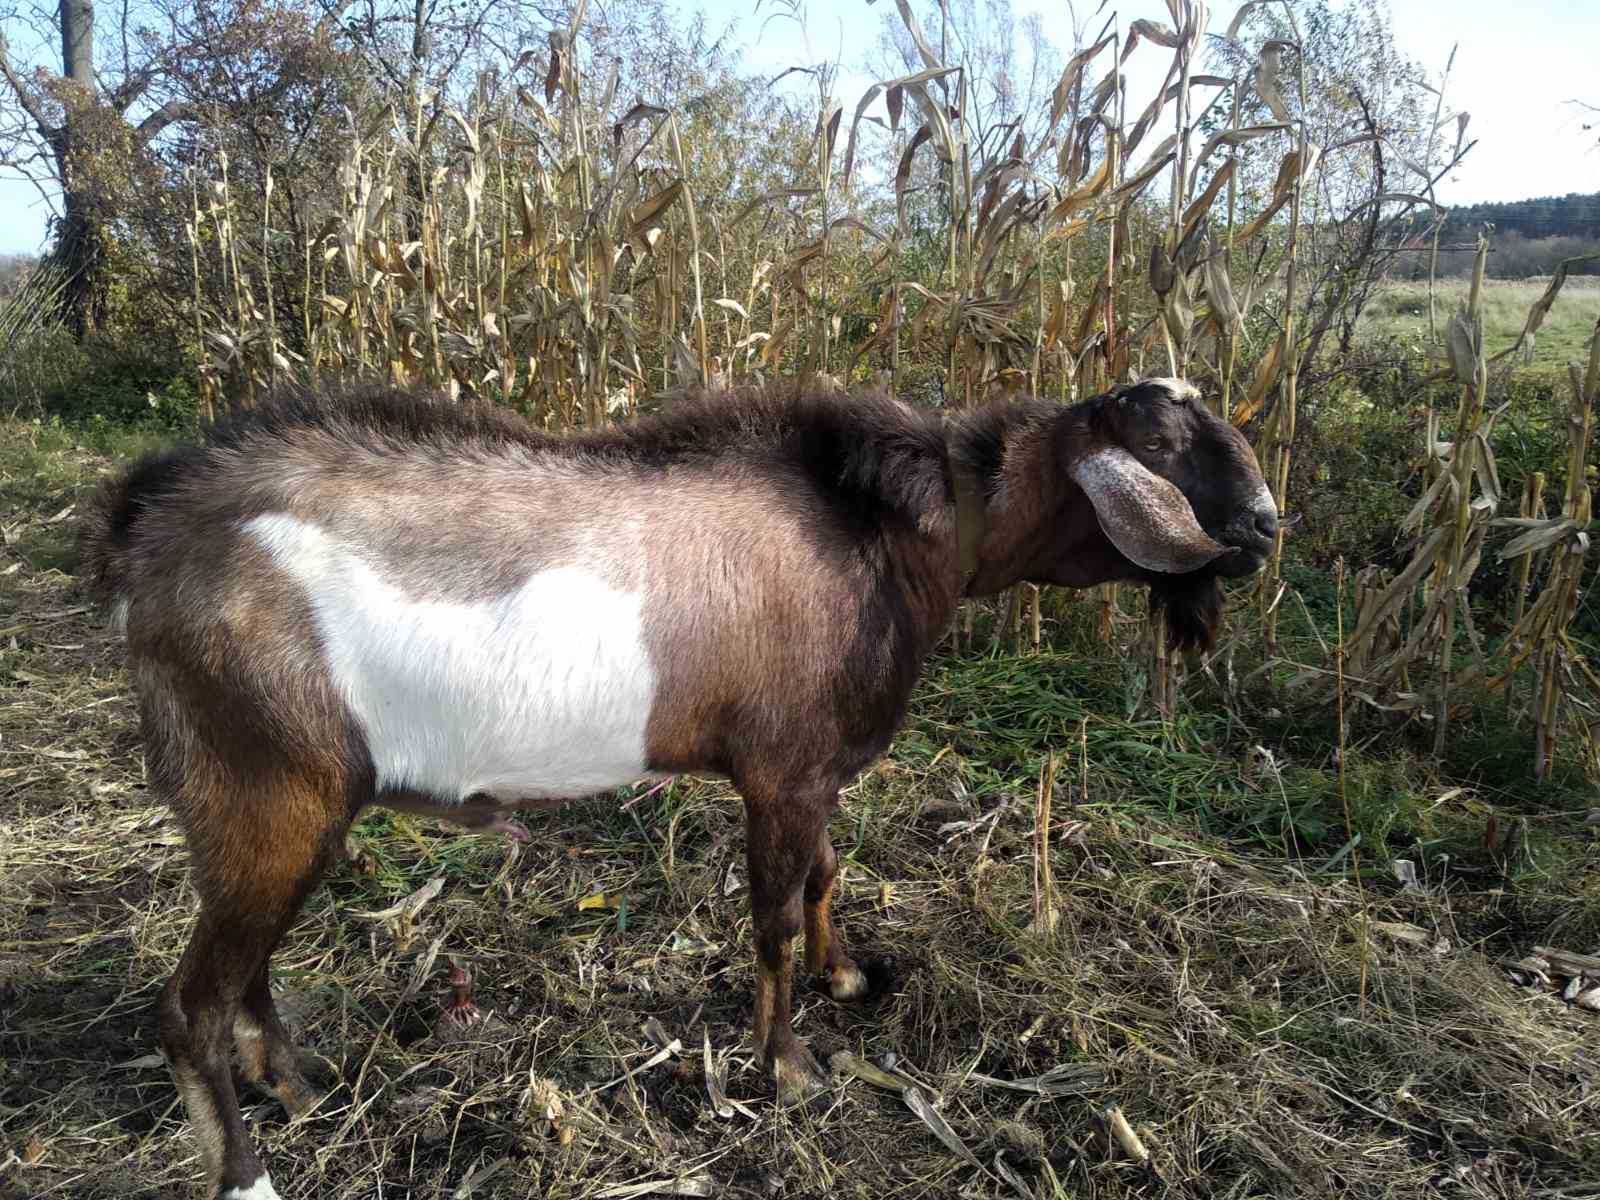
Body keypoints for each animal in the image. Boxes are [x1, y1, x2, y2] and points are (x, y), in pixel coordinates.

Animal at [81, 376, 1273, 1200]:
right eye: (1160, 441)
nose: (1265, 526)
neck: (883, 535)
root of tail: (150, 528)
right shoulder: (780, 773)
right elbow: (773, 919)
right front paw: (788, 1068)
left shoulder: (810, 773)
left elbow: (824, 876)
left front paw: (846, 979)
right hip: (262, 787)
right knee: (190, 1006)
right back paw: (250, 1174)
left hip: (274, 813)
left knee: (246, 971)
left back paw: (298, 1083)